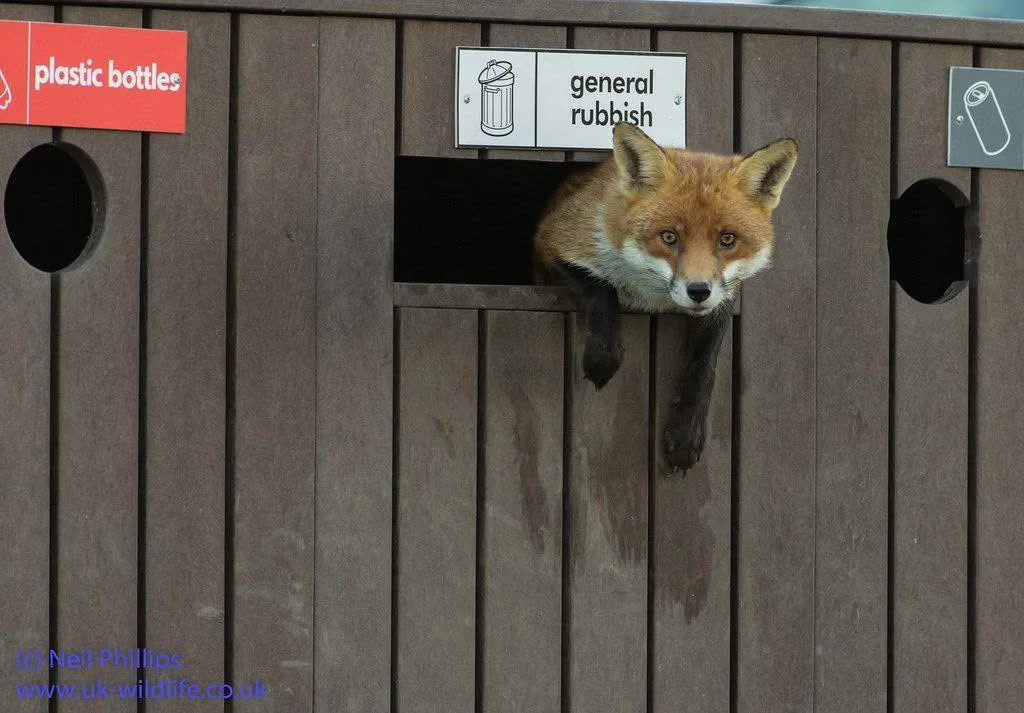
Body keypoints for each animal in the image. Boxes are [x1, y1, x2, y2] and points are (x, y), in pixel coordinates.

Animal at [533, 122, 797, 473]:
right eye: (669, 237)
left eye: (727, 240)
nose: (698, 290)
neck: (651, 297)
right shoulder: (552, 242)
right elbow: (601, 291)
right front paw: (602, 360)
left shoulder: (723, 299)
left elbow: (704, 368)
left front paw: (686, 434)